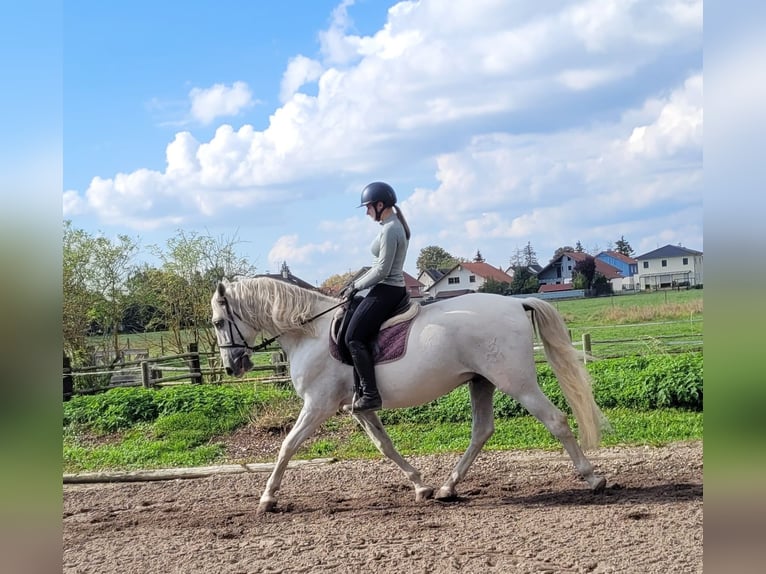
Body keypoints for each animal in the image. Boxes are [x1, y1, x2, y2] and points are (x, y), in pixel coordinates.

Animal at [211, 276, 609, 513]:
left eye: (217, 322)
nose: (232, 366)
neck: (310, 333)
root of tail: (516, 303)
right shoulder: (360, 407)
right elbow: (384, 445)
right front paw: (420, 486)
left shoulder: (318, 405)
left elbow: (287, 446)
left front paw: (267, 498)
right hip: (481, 381)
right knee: (481, 431)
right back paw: (448, 487)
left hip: (517, 382)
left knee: (555, 420)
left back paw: (593, 478)